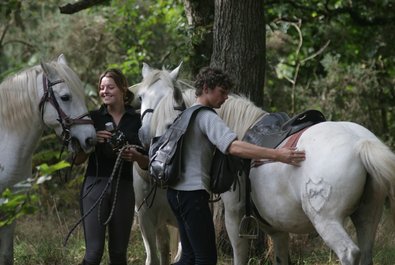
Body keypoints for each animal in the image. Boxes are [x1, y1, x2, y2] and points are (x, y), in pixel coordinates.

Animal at [136, 63, 395, 264]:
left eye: (170, 121)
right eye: (141, 97)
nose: (145, 139)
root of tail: (360, 143)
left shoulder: (234, 217)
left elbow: (240, 255)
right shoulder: (276, 227)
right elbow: (280, 257)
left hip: (327, 220)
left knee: (349, 253)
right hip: (367, 216)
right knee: (366, 253)